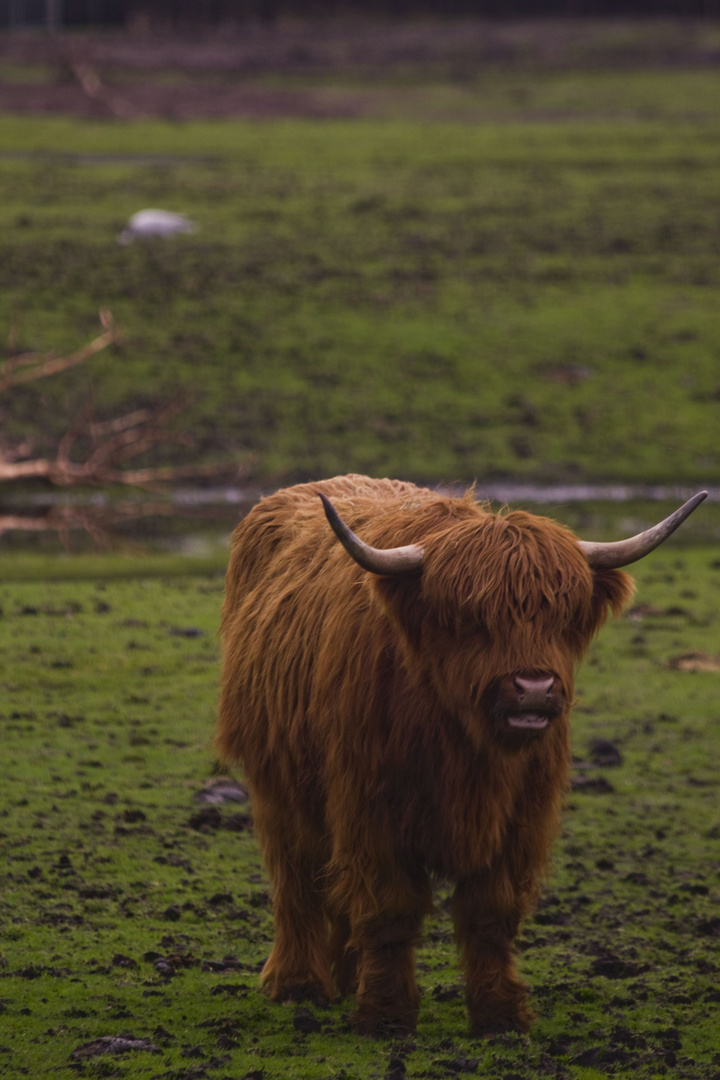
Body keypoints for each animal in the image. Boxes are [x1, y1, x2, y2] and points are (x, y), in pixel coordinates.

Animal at [216, 477, 708, 1032]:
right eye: (470, 617)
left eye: (563, 614)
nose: (534, 689)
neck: (467, 751)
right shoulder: (370, 809)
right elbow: (388, 908)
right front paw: (386, 1014)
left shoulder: (521, 818)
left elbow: (490, 914)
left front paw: (500, 1014)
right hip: (277, 785)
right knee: (297, 880)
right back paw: (298, 984)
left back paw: (344, 978)